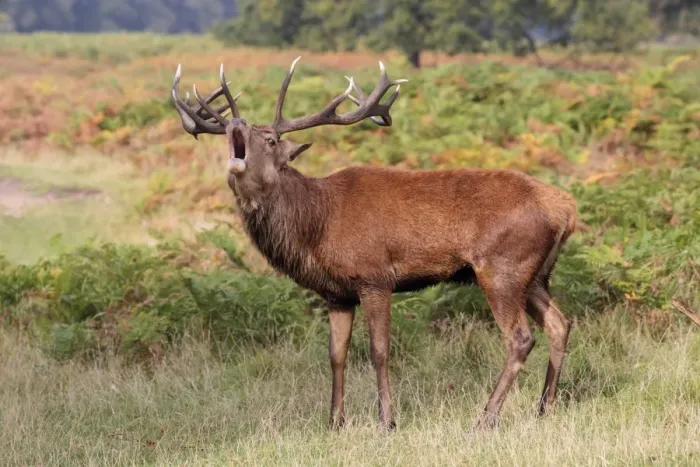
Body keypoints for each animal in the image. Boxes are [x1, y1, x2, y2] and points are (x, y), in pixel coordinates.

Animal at [170, 57, 578, 431]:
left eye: (270, 140)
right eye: (231, 132)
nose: (235, 124)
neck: (316, 227)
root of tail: (567, 208)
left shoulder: (375, 277)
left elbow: (379, 351)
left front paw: (386, 421)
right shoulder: (336, 293)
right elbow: (336, 354)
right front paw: (335, 421)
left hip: (502, 267)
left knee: (521, 338)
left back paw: (486, 418)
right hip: (535, 274)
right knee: (560, 323)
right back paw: (544, 408)